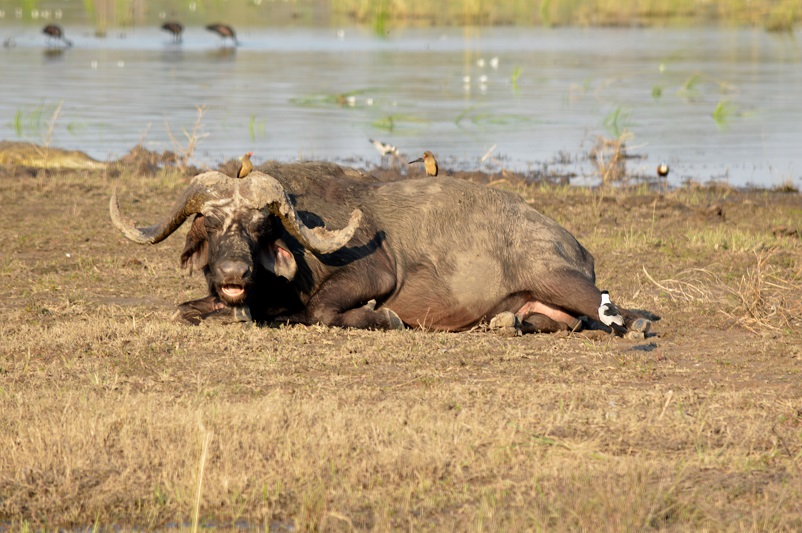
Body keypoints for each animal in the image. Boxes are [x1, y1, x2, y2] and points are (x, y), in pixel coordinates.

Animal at [111, 160, 648, 334]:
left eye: (261, 224)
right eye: (210, 221)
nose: (233, 277)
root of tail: (575, 244)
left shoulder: (376, 274)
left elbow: (320, 310)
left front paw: (381, 316)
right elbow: (184, 309)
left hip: (554, 276)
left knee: (613, 313)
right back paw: (507, 322)